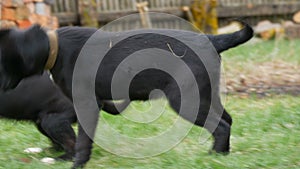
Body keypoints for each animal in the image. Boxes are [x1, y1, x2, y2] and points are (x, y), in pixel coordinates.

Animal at [0, 22, 253, 168]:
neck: (56, 48)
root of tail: (211, 39)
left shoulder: (87, 103)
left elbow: (82, 141)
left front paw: (77, 164)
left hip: (185, 101)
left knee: (221, 126)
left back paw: (215, 157)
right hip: (206, 95)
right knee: (227, 120)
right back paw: (221, 154)